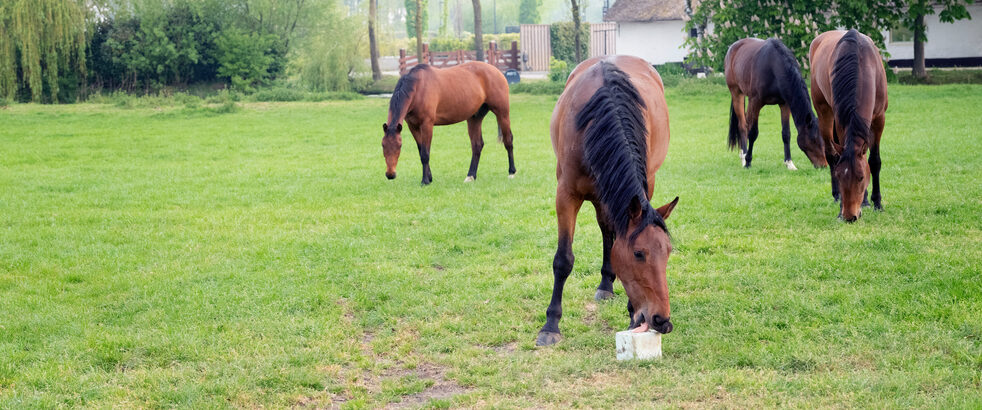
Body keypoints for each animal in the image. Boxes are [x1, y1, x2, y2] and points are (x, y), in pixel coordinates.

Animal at [381, 62, 516, 185]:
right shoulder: (413, 127)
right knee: (477, 145)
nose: (390, 174)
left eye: (399, 146)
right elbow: (421, 151)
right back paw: (470, 176)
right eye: (383, 145)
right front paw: (429, 177)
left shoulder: (427, 125)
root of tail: (496, 71)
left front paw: (425, 181)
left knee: (508, 140)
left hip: (502, 113)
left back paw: (511, 172)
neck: (418, 88)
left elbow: (425, 153)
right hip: (474, 118)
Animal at [536, 55, 679, 346]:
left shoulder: (643, 186)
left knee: (608, 232)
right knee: (606, 231)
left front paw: (633, 314)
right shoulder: (565, 194)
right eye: (639, 254)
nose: (662, 321)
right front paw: (551, 325)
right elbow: (563, 260)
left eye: (668, 251)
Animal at [724, 38, 827, 170]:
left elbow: (786, 133)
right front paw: (748, 162)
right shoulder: (756, 102)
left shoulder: (785, 104)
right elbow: (753, 133)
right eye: (813, 140)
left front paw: (789, 163)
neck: (774, 67)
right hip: (737, 93)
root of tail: (733, 48)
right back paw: (744, 157)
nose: (823, 165)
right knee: (743, 125)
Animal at [809, 30, 888, 221]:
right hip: (824, 113)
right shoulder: (840, 121)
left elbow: (874, 161)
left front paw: (876, 202)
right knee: (831, 155)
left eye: (860, 177)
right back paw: (836, 196)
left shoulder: (879, 120)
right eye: (839, 176)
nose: (849, 216)